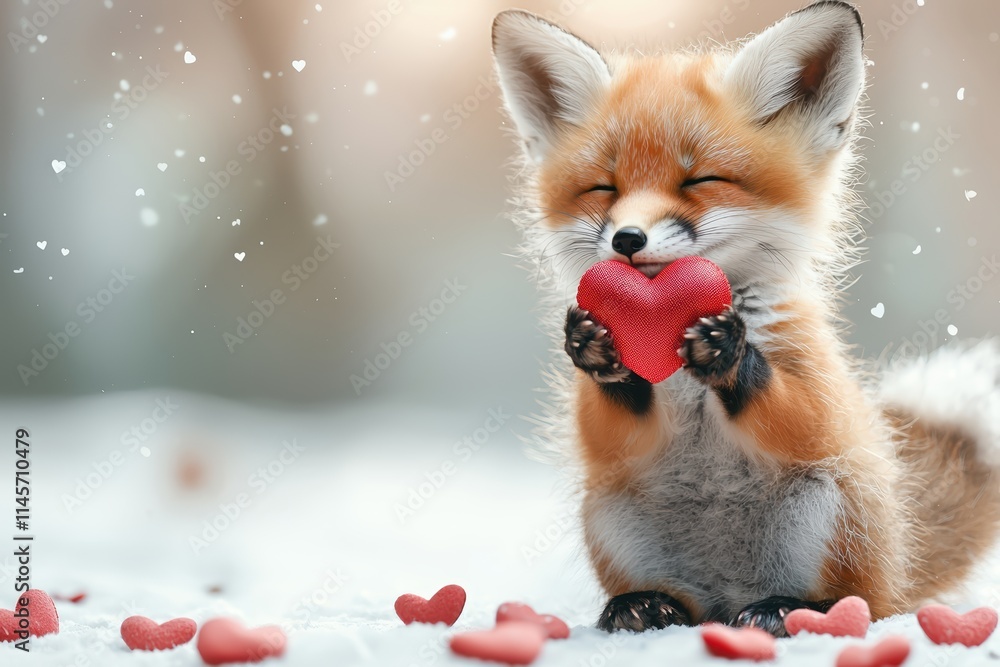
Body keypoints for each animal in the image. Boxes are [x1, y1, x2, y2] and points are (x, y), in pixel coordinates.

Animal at [491, 1, 1000, 637]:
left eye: (700, 180)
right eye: (604, 188)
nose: (627, 239)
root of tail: (728, 599)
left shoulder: (815, 384)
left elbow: (801, 418)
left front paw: (728, 354)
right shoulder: (616, 447)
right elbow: (609, 431)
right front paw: (597, 349)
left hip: (830, 504)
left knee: (857, 603)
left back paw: (789, 609)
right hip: (609, 514)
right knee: (677, 604)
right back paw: (642, 606)